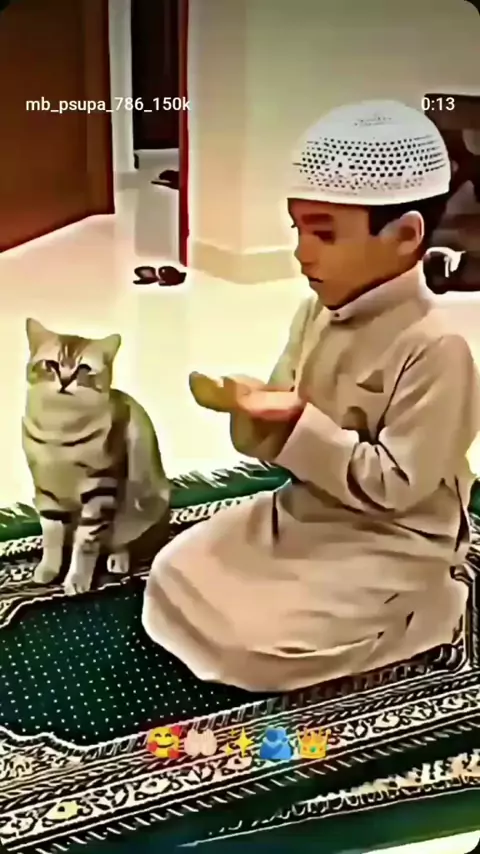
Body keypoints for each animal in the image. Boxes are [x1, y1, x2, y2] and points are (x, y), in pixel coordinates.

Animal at [22, 318, 170, 596]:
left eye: (83, 368)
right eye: (51, 365)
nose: (65, 380)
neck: (59, 433)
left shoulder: (100, 487)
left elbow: (86, 541)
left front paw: (77, 579)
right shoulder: (45, 490)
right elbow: (51, 536)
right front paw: (48, 570)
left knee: (121, 541)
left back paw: (118, 560)